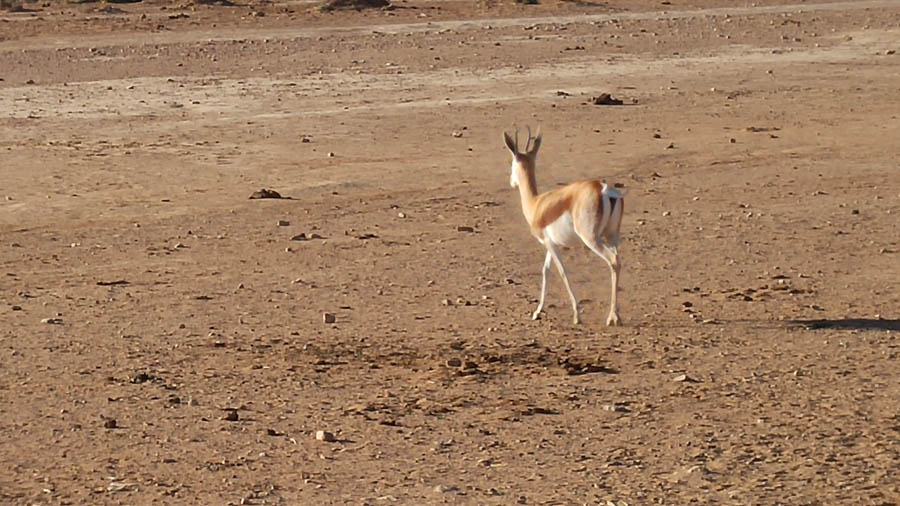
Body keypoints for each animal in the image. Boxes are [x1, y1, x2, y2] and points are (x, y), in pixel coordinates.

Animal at [506, 124, 624, 326]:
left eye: (511, 163)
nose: (512, 182)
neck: (536, 204)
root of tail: (604, 190)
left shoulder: (549, 243)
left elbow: (562, 272)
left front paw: (577, 315)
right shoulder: (551, 244)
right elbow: (546, 271)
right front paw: (537, 311)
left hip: (591, 239)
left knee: (613, 261)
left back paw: (611, 318)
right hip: (612, 235)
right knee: (618, 260)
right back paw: (616, 315)